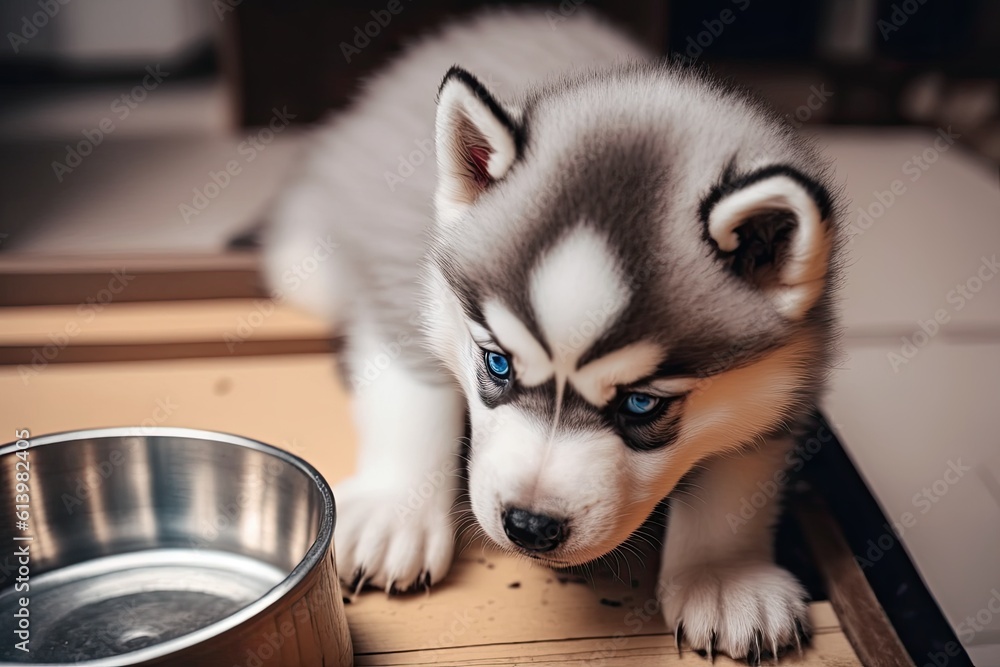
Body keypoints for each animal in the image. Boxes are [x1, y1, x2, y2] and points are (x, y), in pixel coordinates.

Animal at [262, 6, 840, 664]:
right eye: (498, 364)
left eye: (642, 404)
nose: (530, 527)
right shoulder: (402, 289)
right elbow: (414, 398)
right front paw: (395, 511)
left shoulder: (792, 372)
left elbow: (740, 472)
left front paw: (724, 575)